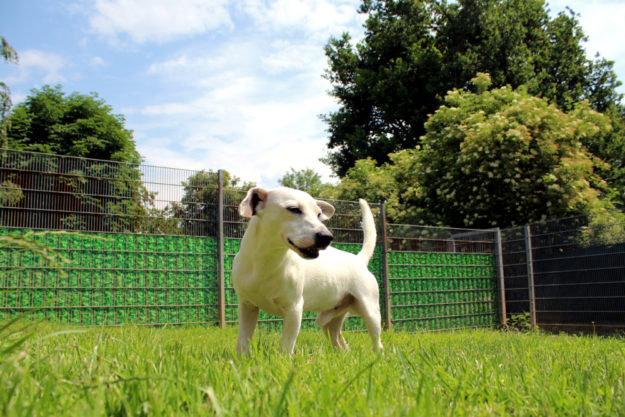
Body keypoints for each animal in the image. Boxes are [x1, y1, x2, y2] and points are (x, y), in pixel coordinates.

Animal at [232, 187, 382, 352]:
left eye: (318, 214)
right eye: (294, 209)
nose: (327, 236)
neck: (267, 261)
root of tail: (359, 259)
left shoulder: (294, 309)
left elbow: (286, 346)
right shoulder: (247, 307)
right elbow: (242, 341)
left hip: (370, 311)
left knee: (377, 342)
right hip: (330, 322)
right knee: (340, 342)